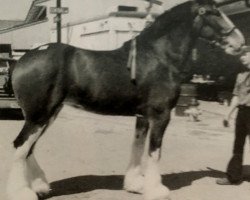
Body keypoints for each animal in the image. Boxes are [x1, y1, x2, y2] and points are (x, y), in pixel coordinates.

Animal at [6, 0, 245, 200]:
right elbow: (154, 151)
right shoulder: (161, 115)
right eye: (214, 12)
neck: (158, 57)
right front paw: (156, 189)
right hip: (39, 115)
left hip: (48, 114)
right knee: (20, 145)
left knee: (29, 148)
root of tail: (23, 59)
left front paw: (135, 185)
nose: (240, 43)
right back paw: (22, 193)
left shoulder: (143, 117)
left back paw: (40, 186)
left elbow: (138, 147)